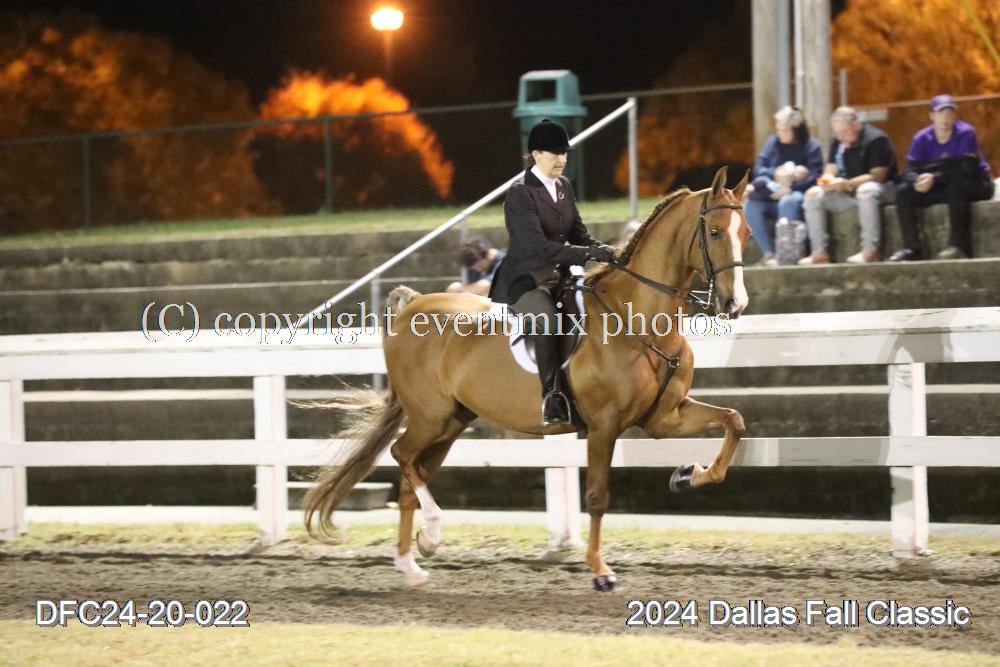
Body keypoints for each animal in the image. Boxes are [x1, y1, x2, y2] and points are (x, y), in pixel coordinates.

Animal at [304, 166, 751, 591]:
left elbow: (733, 420)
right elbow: (597, 497)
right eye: (714, 231)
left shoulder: (663, 418)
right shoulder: (604, 426)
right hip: (431, 417)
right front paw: (600, 571)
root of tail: (411, 306)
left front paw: (688, 475)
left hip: (451, 422)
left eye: (745, 233)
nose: (736, 304)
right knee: (401, 456)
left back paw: (411, 564)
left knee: (412, 471)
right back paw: (431, 534)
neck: (636, 320)